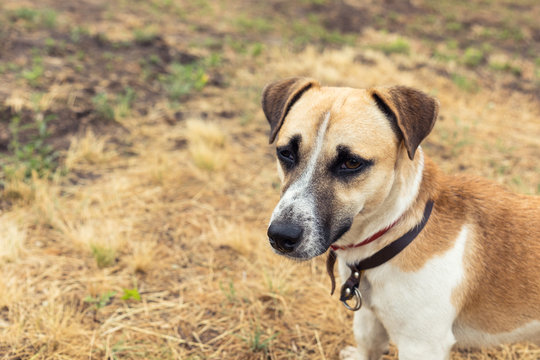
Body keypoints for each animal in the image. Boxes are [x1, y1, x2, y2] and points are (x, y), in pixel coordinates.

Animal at [262, 76, 540, 360]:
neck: (396, 233)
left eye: (351, 162)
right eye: (285, 153)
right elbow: (368, 345)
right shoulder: (370, 317)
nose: (280, 236)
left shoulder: (421, 345)